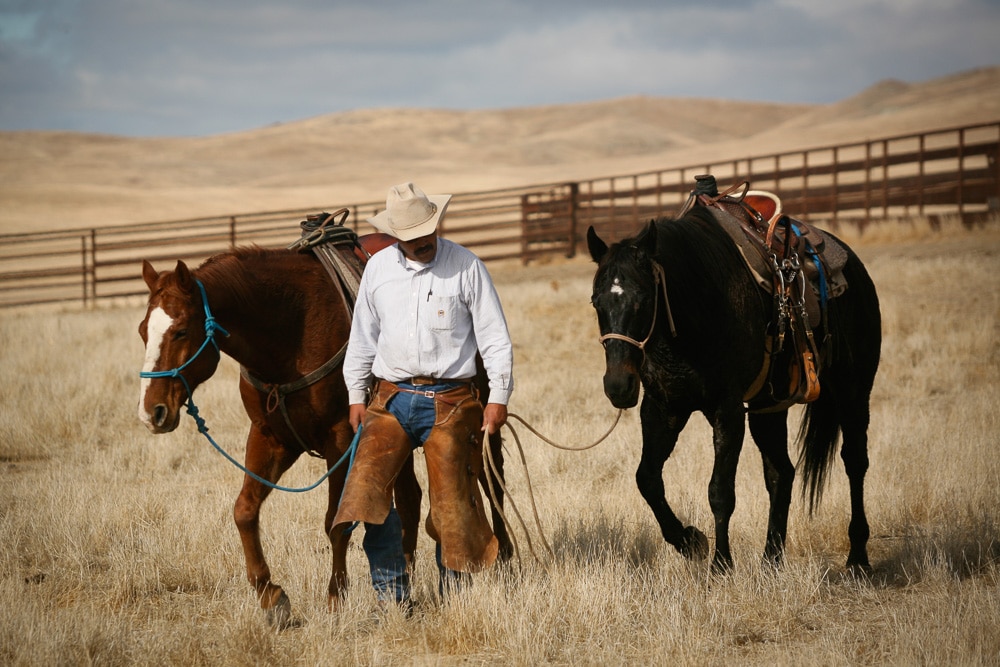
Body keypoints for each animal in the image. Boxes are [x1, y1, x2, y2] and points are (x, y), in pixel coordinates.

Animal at [137, 244, 512, 628]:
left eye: (181, 331)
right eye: (142, 331)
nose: (152, 411)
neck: (291, 331)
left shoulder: (342, 440)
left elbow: (336, 521)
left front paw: (334, 599)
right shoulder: (269, 438)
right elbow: (244, 510)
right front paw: (271, 596)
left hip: (482, 420)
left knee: (491, 482)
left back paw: (506, 563)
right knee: (410, 498)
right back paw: (405, 583)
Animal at [588, 209, 880, 576]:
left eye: (643, 298)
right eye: (596, 302)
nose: (617, 385)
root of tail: (854, 265)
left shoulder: (726, 412)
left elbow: (720, 491)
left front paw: (721, 564)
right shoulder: (663, 408)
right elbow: (648, 479)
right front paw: (690, 541)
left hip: (853, 390)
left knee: (854, 461)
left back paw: (858, 557)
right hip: (769, 408)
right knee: (781, 473)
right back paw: (771, 559)